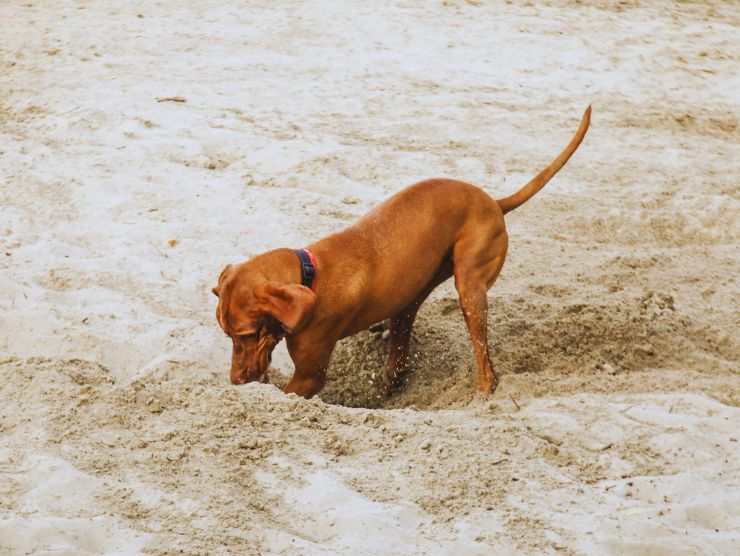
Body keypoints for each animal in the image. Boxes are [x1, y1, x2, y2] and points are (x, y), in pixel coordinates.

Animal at [212, 106, 588, 398]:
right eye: (227, 335)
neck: (310, 274)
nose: (235, 381)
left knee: (483, 355)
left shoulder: (309, 376)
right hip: (413, 291)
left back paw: (484, 390)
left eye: (245, 334)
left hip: (470, 287)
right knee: (402, 338)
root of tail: (494, 202)